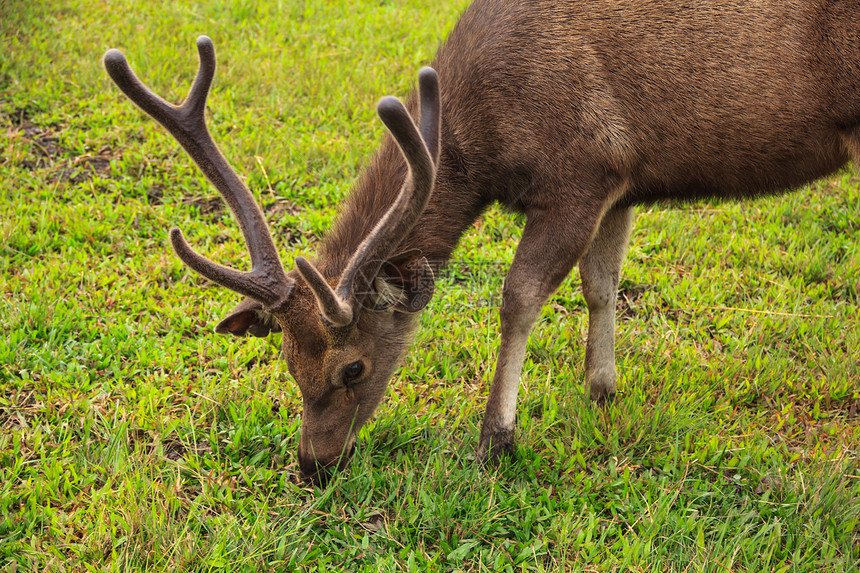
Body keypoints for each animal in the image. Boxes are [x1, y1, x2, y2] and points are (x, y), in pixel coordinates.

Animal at [102, 0, 860, 482]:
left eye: (353, 369)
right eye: (287, 362)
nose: (312, 464)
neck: (480, 139)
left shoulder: (577, 172)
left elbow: (519, 298)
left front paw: (496, 438)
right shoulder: (622, 177)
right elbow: (603, 284)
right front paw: (603, 389)